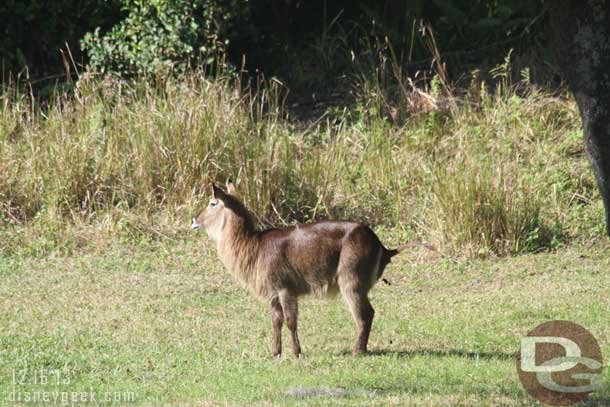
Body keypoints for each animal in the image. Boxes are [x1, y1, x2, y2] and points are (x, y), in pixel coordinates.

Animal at [191, 180, 418, 358]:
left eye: (212, 203)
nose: (194, 221)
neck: (253, 246)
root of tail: (383, 247)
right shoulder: (274, 294)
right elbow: (276, 321)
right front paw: (275, 353)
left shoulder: (286, 289)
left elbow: (291, 321)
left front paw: (296, 353)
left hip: (351, 283)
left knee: (365, 315)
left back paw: (357, 352)